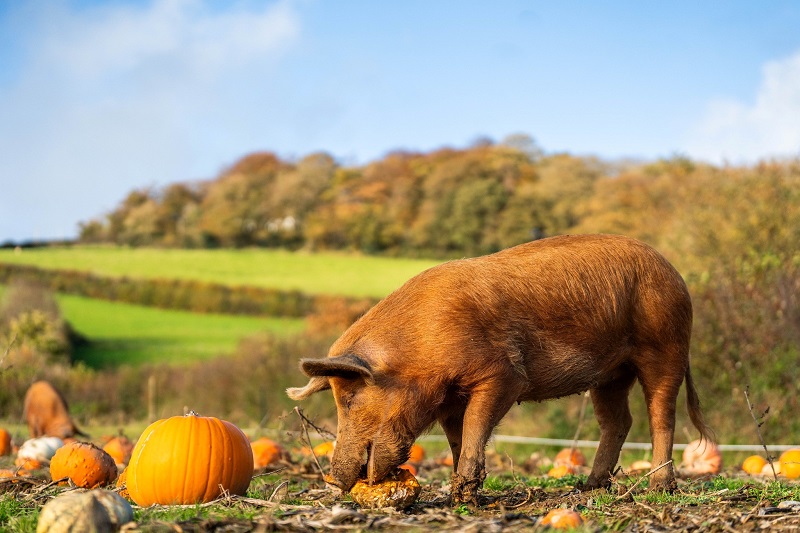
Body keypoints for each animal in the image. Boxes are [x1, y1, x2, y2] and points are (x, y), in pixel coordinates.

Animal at [288, 234, 713, 504]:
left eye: (350, 397)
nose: (331, 478)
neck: (420, 351)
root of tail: (675, 274)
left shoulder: (502, 375)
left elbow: (477, 426)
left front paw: (463, 494)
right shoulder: (450, 398)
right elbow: (457, 438)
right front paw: (460, 494)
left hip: (664, 347)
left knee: (662, 415)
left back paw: (659, 488)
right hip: (611, 374)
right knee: (618, 421)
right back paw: (588, 489)